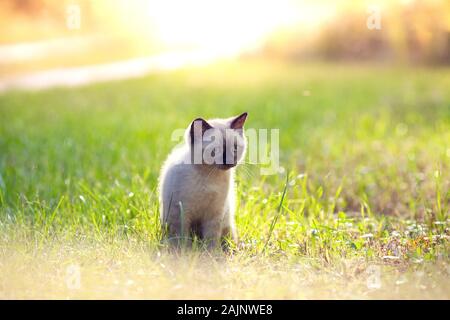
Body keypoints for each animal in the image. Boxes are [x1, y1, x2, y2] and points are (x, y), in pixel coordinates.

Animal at [159, 112, 250, 250]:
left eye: (234, 148)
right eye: (215, 150)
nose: (229, 161)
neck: (209, 176)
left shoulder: (215, 214)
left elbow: (211, 239)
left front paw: (211, 253)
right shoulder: (181, 213)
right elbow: (182, 238)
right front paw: (184, 252)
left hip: (227, 221)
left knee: (229, 237)